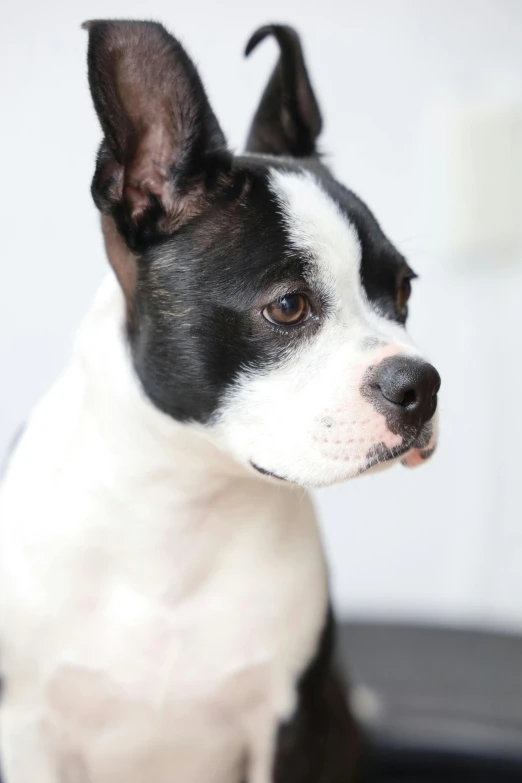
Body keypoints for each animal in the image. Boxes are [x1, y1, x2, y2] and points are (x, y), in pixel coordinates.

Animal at [0, 21, 438, 783]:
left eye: (404, 290)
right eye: (288, 307)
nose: (421, 384)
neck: (184, 507)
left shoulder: (294, 729)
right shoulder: (28, 736)